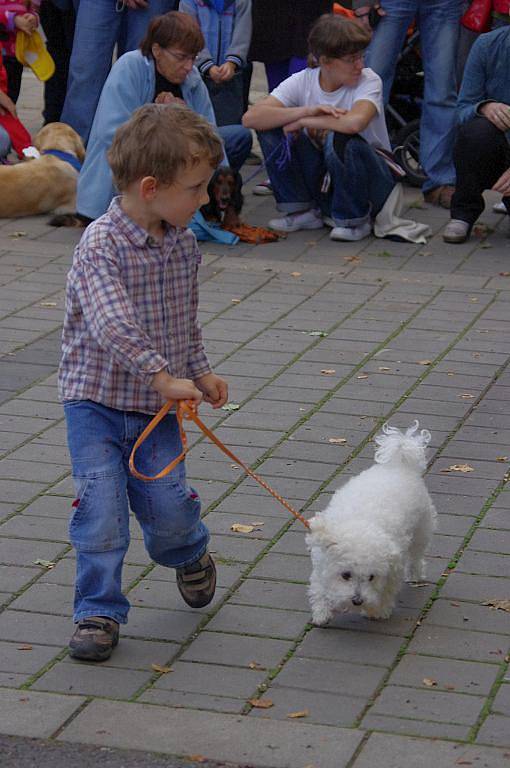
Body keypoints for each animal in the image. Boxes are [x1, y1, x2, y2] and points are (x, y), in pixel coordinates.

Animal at [304, 420, 436, 624]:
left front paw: (377, 611)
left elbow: (387, 591)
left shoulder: (393, 569)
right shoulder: (321, 564)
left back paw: (415, 575)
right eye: (346, 575)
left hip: (421, 530)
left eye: (372, 577)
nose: (357, 600)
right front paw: (321, 613)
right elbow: (319, 588)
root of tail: (399, 466)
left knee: (416, 556)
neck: (360, 523)